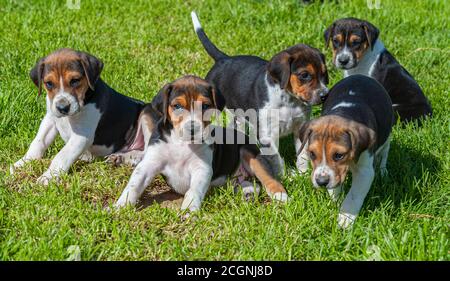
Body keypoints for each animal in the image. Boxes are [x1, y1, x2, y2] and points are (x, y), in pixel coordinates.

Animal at [10, 48, 145, 184]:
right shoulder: (50, 119)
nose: (62, 108)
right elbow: (38, 142)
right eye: (49, 83)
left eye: (75, 80)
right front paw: (23, 163)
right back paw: (119, 158)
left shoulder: (82, 136)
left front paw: (49, 176)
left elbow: (62, 155)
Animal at [113, 75, 288, 211]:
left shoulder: (202, 168)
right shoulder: (149, 163)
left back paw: (281, 196)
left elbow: (193, 190)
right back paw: (248, 193)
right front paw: (120, 207)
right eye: (177, 106)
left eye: (205, 106)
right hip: (236, 178)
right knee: (250, 183)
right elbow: (134, 185)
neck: (181, 144)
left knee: (268, 179)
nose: (193, 129)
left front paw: (189, 210)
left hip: (250, 153)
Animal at [192, 11, 328, 175]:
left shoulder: (300, 127)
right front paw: (283, 177)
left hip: (236, 114)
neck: (289, 101)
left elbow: (302, 155)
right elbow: (276, 159)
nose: (325, 95)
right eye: (305, 75)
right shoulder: (267, 135)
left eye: (324, 74)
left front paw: (302, 174)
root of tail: (223, 59)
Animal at [298, 74, 394, 228]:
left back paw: (383, 172)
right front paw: (336, 201)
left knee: (384, 154)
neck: (344, 112)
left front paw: (345, 218)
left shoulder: (364, 171)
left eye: (339, 155)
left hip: (387, 137)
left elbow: (353, 196)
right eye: (312, 154)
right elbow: (335, 187)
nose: (321, 182)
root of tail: (361, 75)